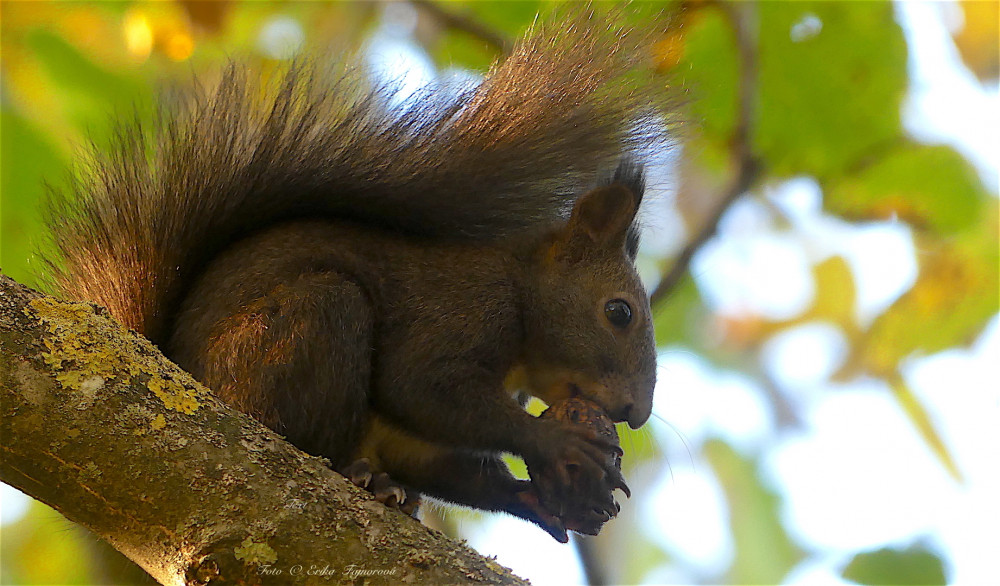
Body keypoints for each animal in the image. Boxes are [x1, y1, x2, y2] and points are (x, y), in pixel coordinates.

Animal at [47, 12, 672, 544]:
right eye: (619, 312)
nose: (635, 414)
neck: (521, 294)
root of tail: (175, 372)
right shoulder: (462, 309)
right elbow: (418, 385)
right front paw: (554, 441)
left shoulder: (421, 438)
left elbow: (444, 459)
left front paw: (538, 498)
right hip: (303, 327)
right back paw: (354, 471)